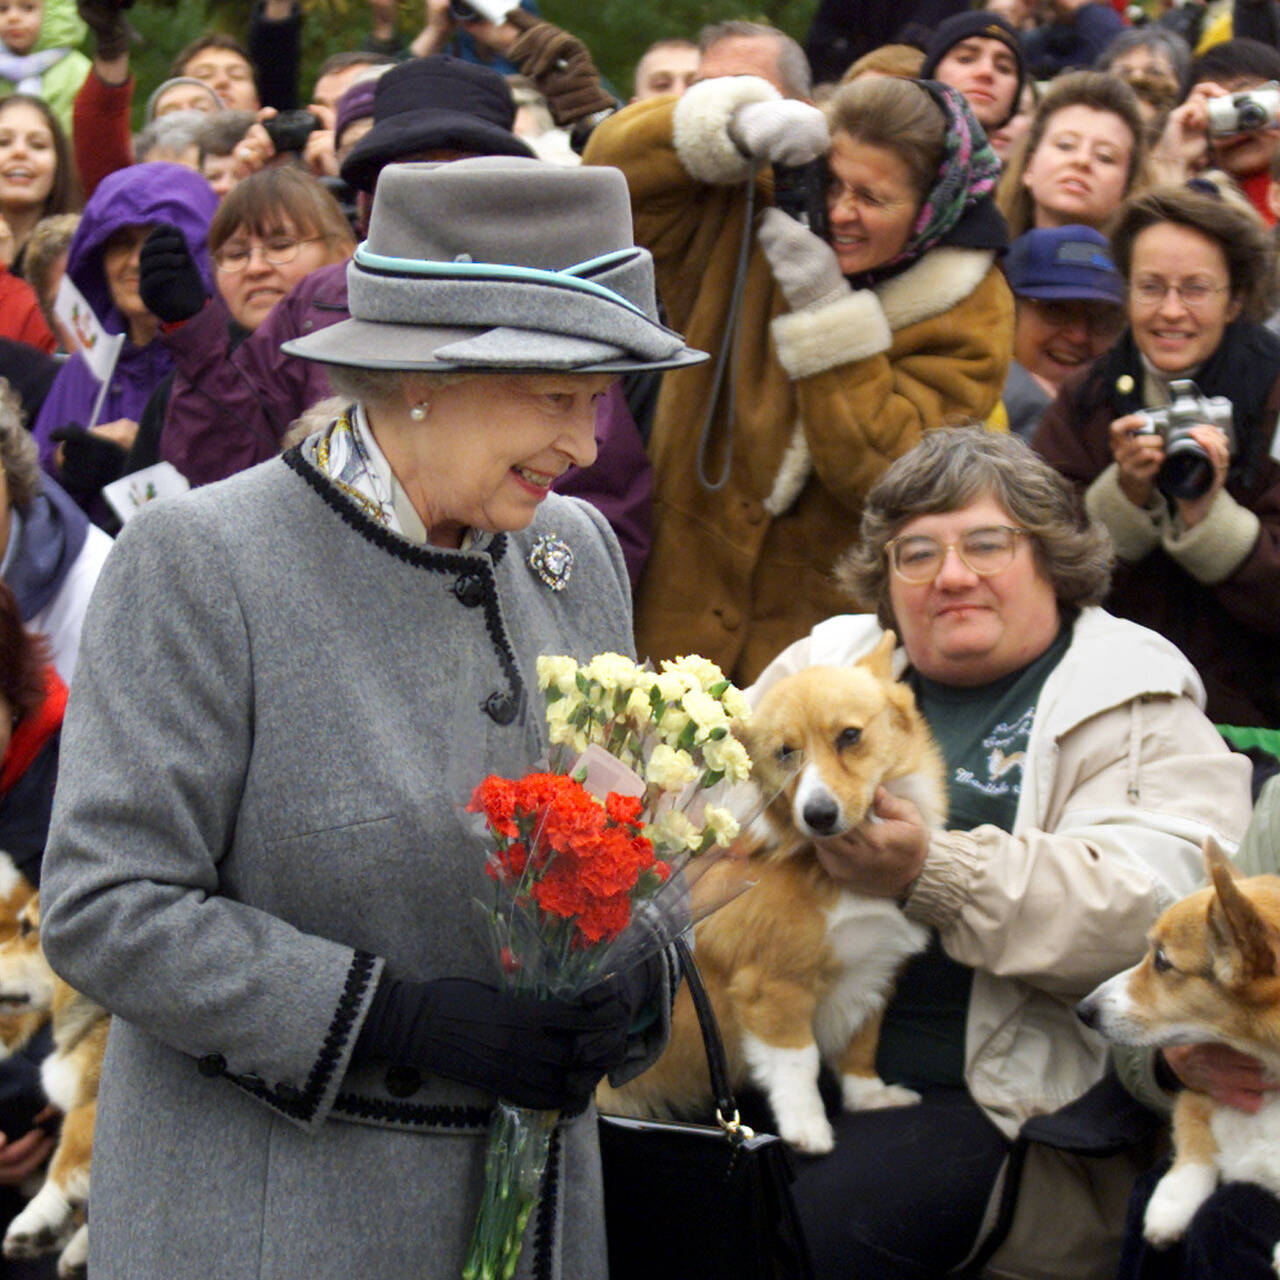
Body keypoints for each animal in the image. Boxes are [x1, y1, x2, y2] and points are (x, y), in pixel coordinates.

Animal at [593, 634, 947, 1157]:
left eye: (850, 736)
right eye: (785, 753)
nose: (818, 814)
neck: (823, 865)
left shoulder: (871, 977)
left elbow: (860, 1046)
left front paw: (871, 1097)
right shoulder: (775, 986)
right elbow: (799, 1063)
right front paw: (808, 1130)